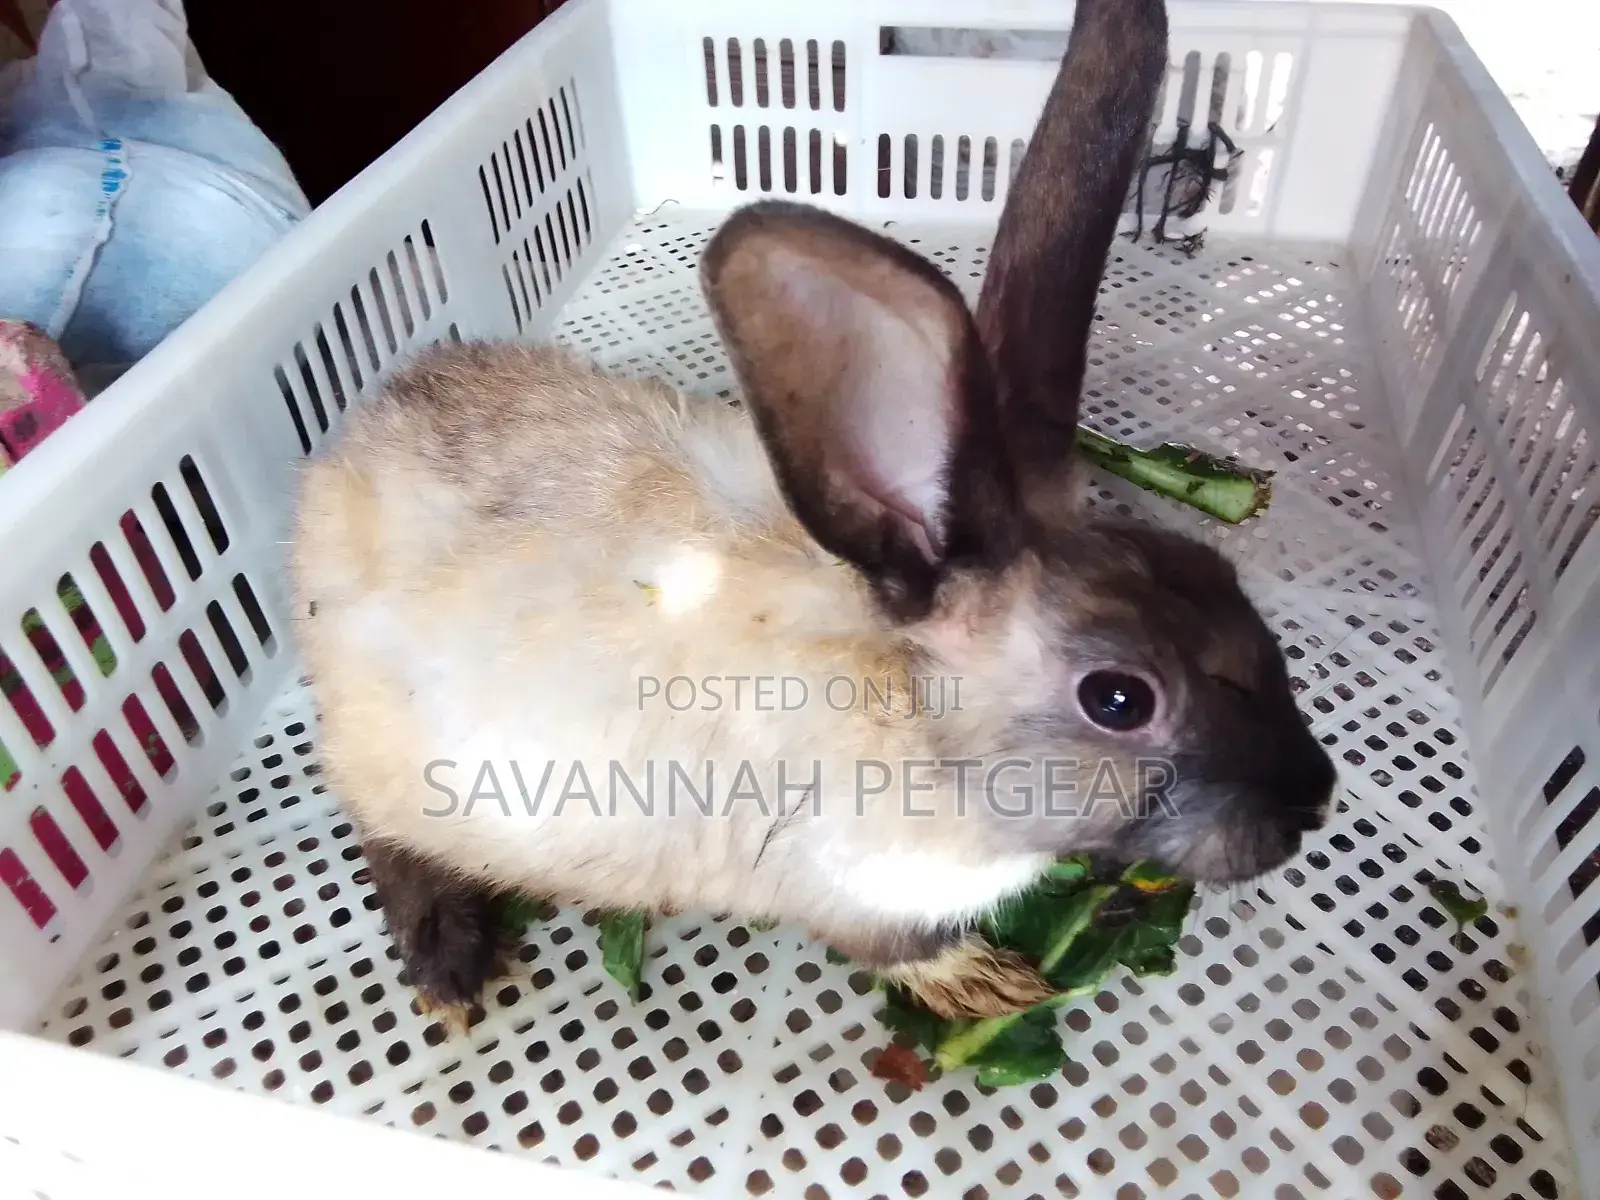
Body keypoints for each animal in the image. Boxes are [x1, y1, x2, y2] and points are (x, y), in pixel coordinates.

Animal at [288, 0, 1337, 1028]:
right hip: (400, 777)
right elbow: (897, 950)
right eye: (1119, 699)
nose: (1313, 797)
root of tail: (330, 479)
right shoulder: (853, 899)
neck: (919, 722)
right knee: (386, 842)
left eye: (1222, 579)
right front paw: (989, 982)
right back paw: (449, 962)